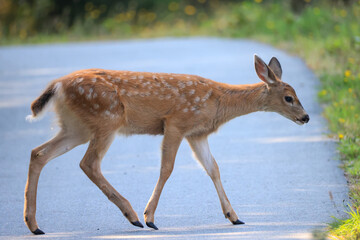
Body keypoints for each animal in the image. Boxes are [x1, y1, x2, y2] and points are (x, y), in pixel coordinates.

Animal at [23, 54, 310, 234]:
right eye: (288, 97)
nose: (306, 117)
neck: (219, 103)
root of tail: (57, 85)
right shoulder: (176, 123)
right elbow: (167, 168)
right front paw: (150, 217)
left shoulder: (197, 134)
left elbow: (213, 168)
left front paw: (234, 216)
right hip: (106, 118)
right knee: (88, 163)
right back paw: (133, 216)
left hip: (76, 126)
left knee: (38, 153)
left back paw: (34, 224)